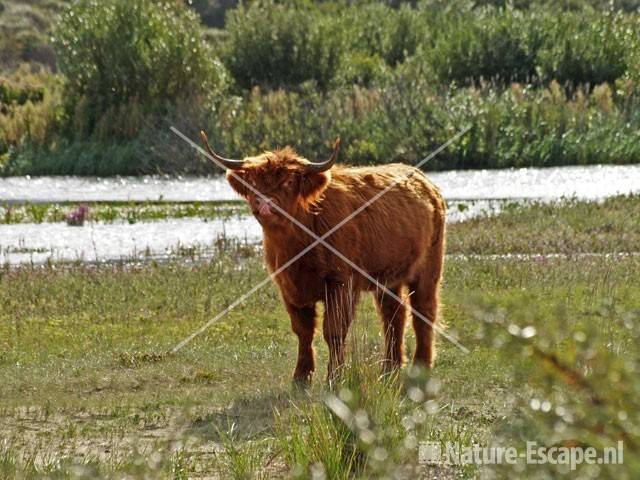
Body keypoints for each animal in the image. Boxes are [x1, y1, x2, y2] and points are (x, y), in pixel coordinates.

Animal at [200, 131, 444, 382]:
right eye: (254, 183)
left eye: (289, 181)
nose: (264, 203)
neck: (298, 244)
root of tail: (425, 181)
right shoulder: (288, 286)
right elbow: (303, 330)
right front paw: (300, 377)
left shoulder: (341, 283)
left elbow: (334, 331)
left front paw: (334, 377)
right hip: (388, 278)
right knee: (394, 314)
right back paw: (389, 369)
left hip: (429, 269)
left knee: (424, 312)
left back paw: (421, 366)